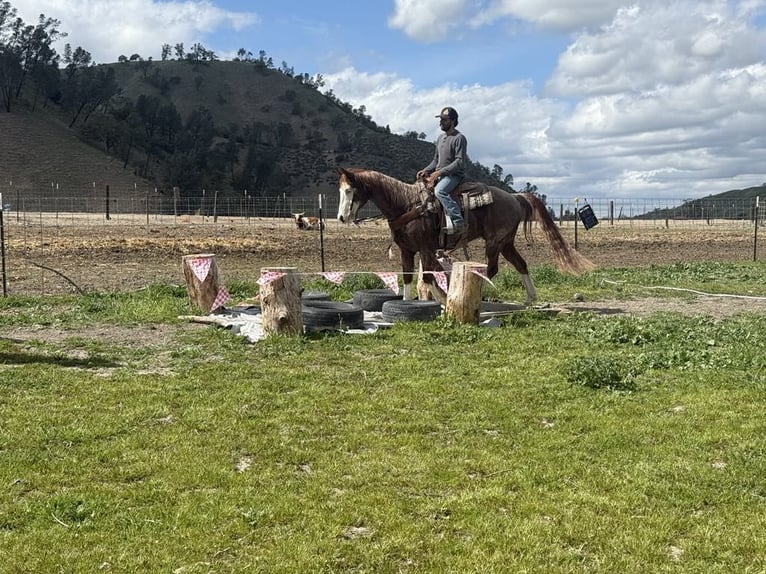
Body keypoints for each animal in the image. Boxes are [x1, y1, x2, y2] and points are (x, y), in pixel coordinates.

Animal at [336, 167, 595, 305]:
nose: (341, 217)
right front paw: (410, 304)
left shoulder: (426, 249)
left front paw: (442, 302)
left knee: (491, 269)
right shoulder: (407, 251)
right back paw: (530, 297)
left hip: (494, 242)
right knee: (520, 263)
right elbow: (408, 279)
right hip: (506, 243)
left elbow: (428, 278)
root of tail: (515, 196)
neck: (407, 204)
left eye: (349, 190)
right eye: (340, 190)